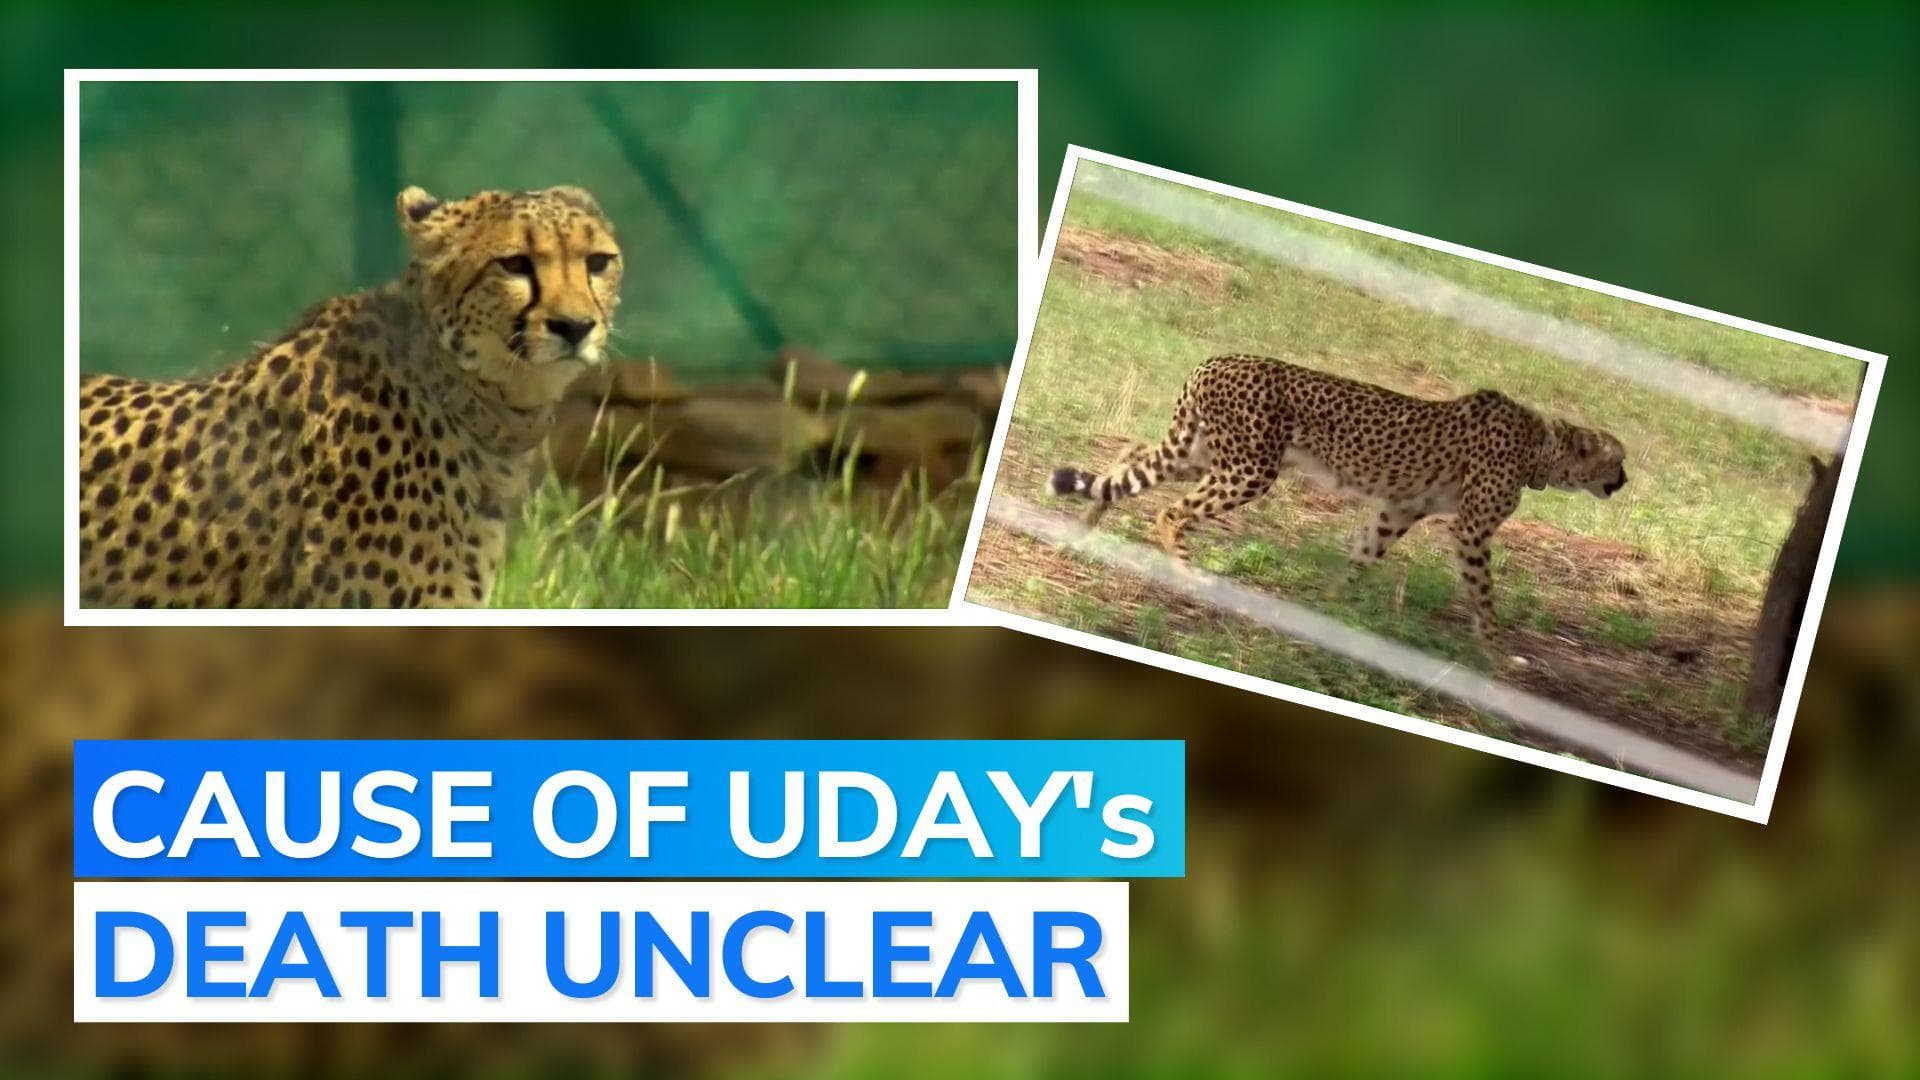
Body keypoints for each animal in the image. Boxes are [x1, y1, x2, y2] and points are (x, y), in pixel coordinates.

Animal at [1047, 353, 1629, 637]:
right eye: (1617, 459)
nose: (1624, 481)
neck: (1543, 448)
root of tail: (1217, 359)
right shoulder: (1470, 529)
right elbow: (1484, 595)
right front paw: (1496, 654)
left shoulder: (1402, 507)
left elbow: (1364, 556)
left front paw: (1326, 605)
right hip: (1249, 469)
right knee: (1170, 511)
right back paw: (1188, 574)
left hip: (1203, 454)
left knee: (1131, 457)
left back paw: (1083, 529)